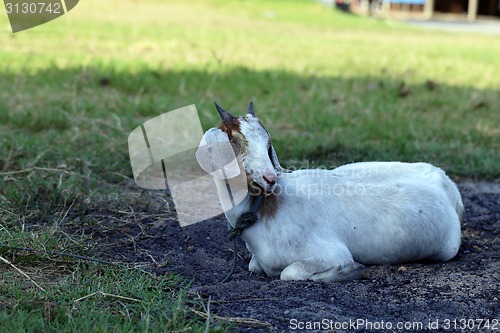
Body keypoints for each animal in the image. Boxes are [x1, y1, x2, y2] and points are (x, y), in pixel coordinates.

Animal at [197, 100, 462, 280]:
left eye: (268, 144)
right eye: (235, 141)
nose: (270, 178)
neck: (265, 209)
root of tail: (446, 183)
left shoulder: (331, 253)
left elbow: (289, 273)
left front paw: (352, 270)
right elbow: (254, 266)